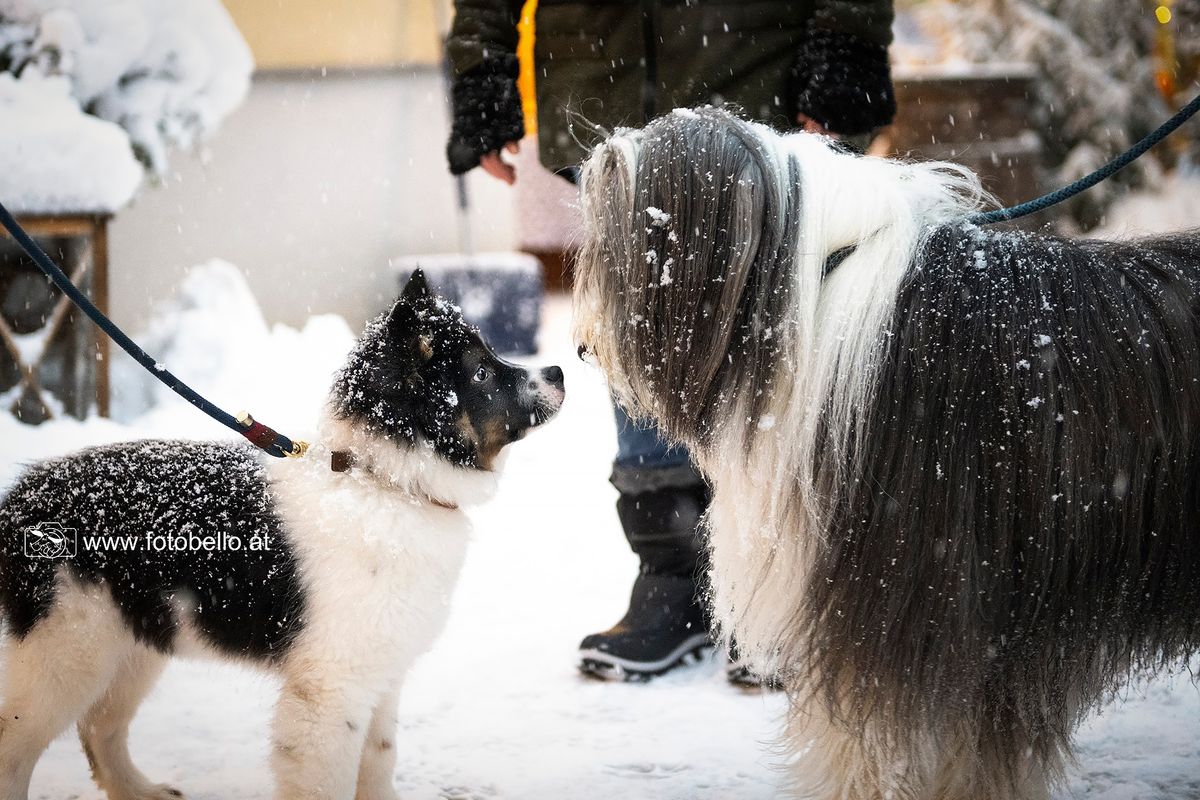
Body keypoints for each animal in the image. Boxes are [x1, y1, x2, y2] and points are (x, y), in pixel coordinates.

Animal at [0, 271, 566, 800]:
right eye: (481, 372)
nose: (559, 371)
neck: (383, 483)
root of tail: (21, 500)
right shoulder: (329, 691)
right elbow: (327, 781)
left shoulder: (380, 676)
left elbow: (379, 761)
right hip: (64, 651)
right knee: (19, 746)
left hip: (131, 644)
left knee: (100, 727)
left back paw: (142, 790)